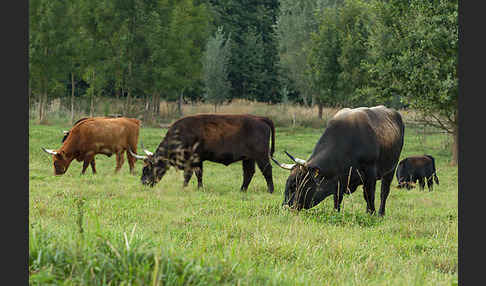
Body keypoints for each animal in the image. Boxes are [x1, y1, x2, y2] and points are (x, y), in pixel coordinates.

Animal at [127, 113, 276, 192]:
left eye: (147, 169)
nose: (143, 183)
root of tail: (259, 118)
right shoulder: (197, 160)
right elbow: (198, 174)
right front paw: (198, 188)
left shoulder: (193, 159)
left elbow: (190, 174)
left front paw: (184, 187)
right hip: (248, 158)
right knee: (248, 173)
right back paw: (242, 190)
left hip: (261, 156)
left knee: (267, 170)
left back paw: (270, 190)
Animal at [272, 106, 404, 216]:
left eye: (296, 185)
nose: (285, 207)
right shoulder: (338, 180)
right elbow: (337, 199)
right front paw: (336, 213)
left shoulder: (370, 174)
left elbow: (369, 195)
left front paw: (371, 214)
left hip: (391, 169)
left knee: (384, 192)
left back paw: (381, 213)